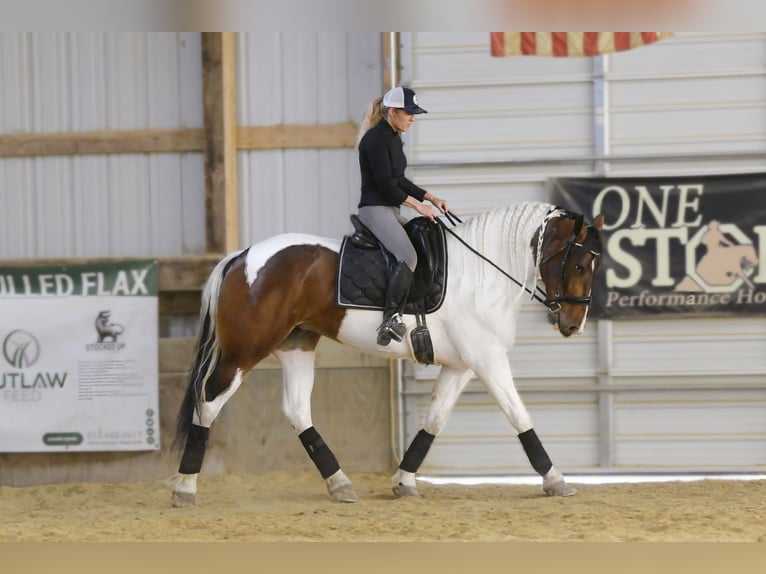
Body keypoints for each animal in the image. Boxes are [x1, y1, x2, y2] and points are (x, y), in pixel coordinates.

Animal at [166, 202, 608, 508]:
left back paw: (340, 484)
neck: (483, 274)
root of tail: (242, 256)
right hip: (246, 350)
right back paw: (185, 487)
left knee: (297, 411)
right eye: (580, 264)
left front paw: (404, 481)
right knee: (209, 403)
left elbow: (435, 420)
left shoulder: (462, 365)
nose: (573, 325)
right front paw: (555, 479)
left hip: (296, 345)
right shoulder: (487, 360)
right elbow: (519, 416)